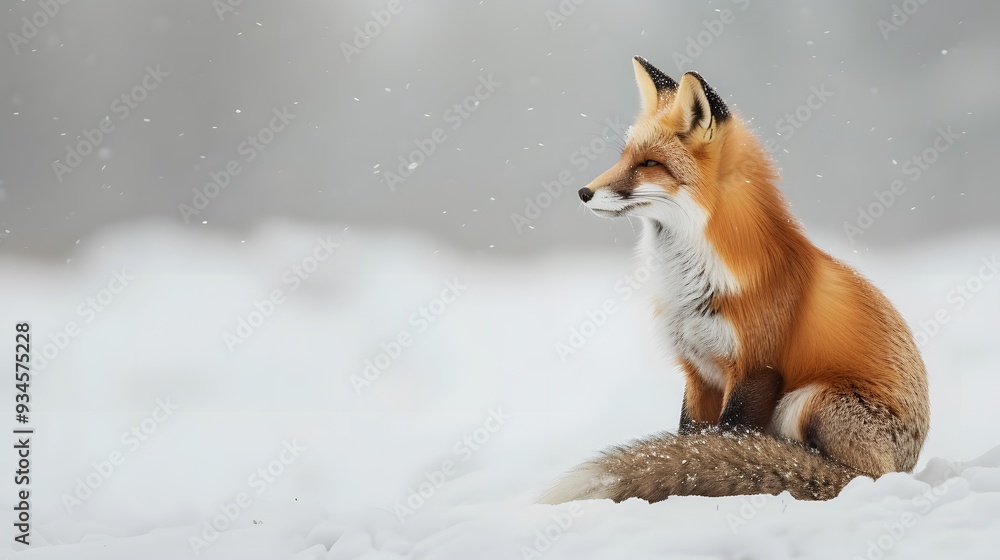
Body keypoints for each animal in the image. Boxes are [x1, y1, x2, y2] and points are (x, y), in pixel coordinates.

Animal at [543, 56, 929, 503]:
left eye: (650, 164)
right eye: (624, 157)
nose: (583, 192)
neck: (694, 283)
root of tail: (906, 468)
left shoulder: (756, 368)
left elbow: (725, 440)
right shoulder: (698, 372)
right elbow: (690, 441)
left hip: (811, 400)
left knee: (842, 474)